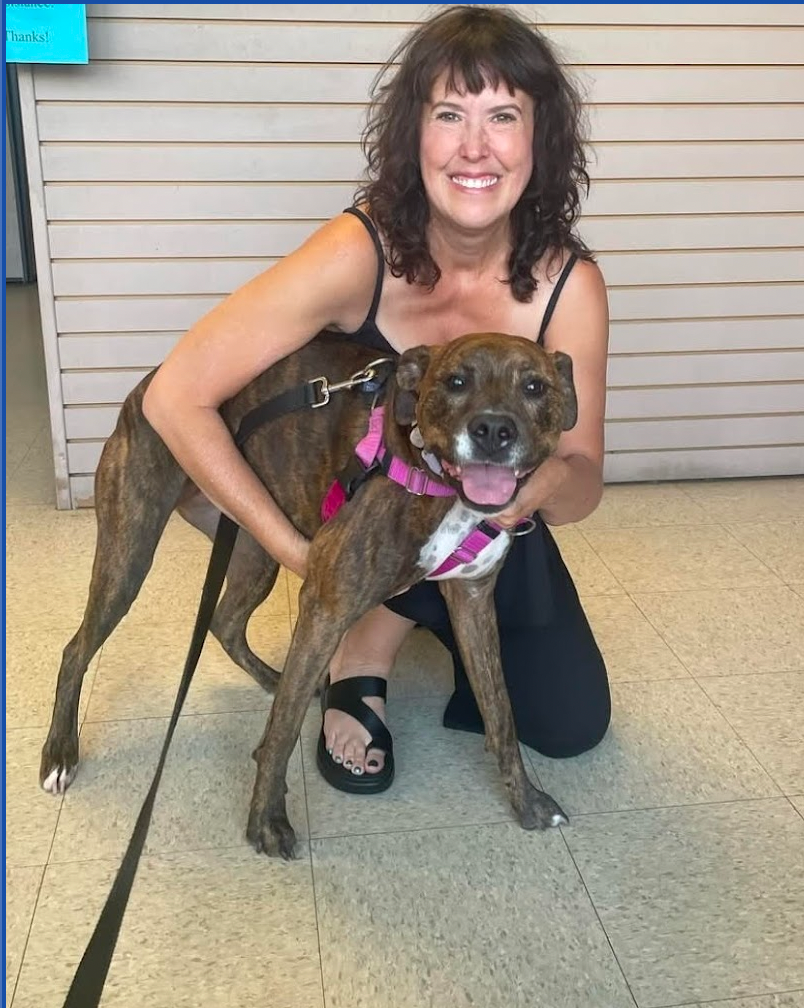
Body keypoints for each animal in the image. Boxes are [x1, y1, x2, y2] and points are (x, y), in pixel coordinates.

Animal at [40, 330, 580, 858]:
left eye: (535, 387)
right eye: (456, 381)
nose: (493, 430)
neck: (436, 483)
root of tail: (145, 387)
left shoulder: (472, 602)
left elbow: (501, 712)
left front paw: (527, 800)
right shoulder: (326, 605)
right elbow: (282, 730)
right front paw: (266, 821)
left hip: (255, 548)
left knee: (225, 622)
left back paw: (272, 677)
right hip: (129, 555)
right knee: (75, 649)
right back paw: (59, 754)